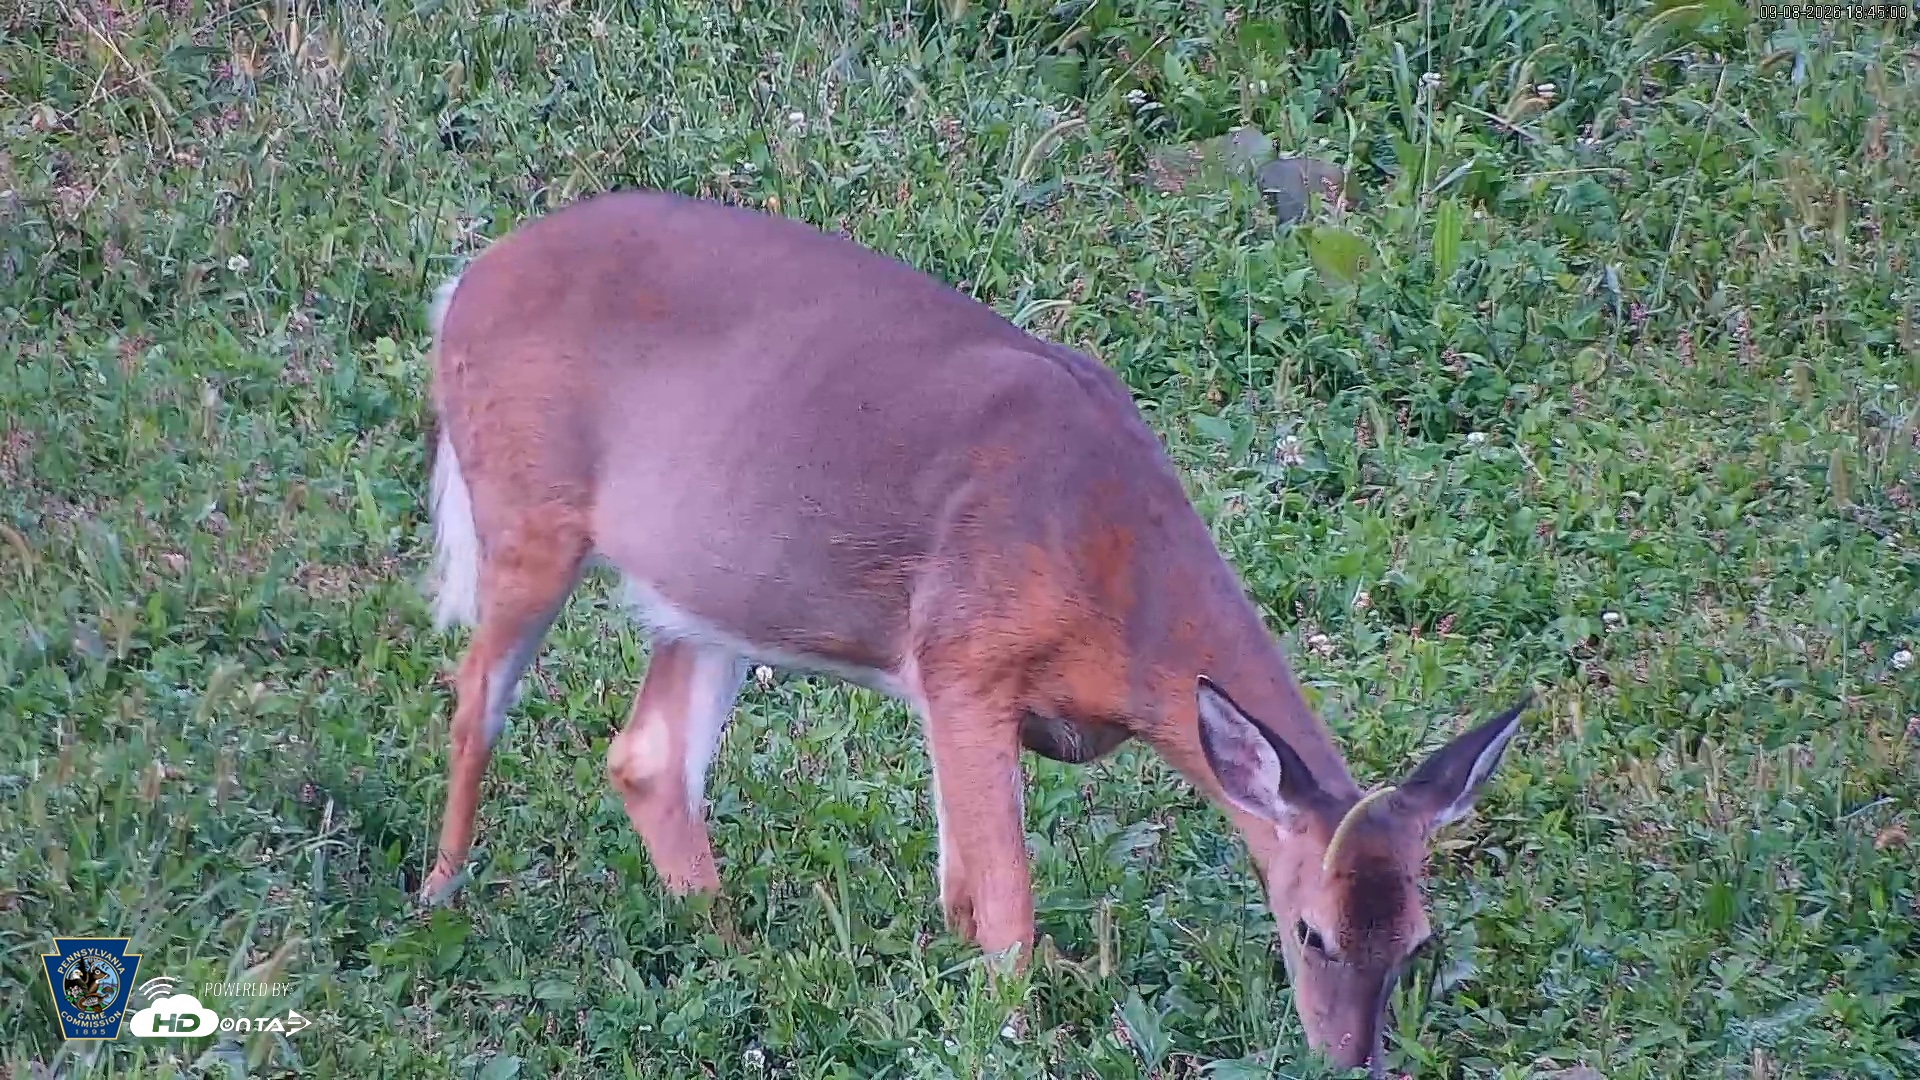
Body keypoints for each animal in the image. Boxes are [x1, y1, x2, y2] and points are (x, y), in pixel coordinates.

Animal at [417, 189, 1529, 1077]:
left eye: (1417, 941)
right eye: (1310, 934)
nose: (1355, 1060)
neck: (1114, 579)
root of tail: (463, 283)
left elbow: (960, 890)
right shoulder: (963, 658)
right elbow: (1005, 910)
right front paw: (1007, 1035)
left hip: (711, 592)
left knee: (646, 755)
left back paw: (735, 953)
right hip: (528, 512)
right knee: (476, 698)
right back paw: (441, 897)